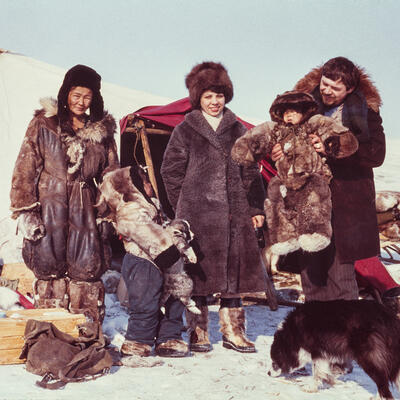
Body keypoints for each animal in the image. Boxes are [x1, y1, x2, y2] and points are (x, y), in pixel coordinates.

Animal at [268, 300, 400, 400]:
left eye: (274, 361)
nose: (268, 373)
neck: (292, 334)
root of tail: (389, 319)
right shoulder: (326, 352)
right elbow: (328, 370)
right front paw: (332, 381)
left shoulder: (317, 351)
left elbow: (317, 371)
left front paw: (310, 387)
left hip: (368, 357)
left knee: (383, 382)